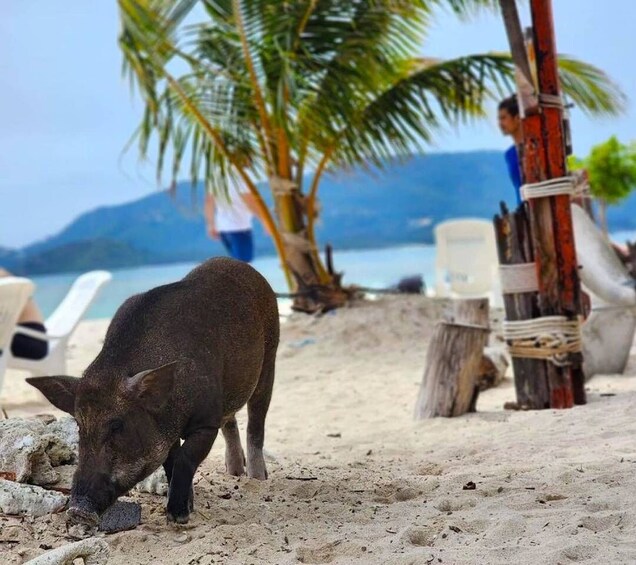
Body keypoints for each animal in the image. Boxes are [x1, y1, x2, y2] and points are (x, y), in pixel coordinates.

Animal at [27, 258, 280, 528]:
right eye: (78, 425)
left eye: (117, 425)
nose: (77, 510)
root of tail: (242, 266)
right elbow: (170, 462)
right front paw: (185, 507)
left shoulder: (206, 421)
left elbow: (184, 458)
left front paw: (178, 516)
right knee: (231, 421)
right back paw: (234, 473)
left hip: (269, 361)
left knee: (256, 423)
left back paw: (258, 478)